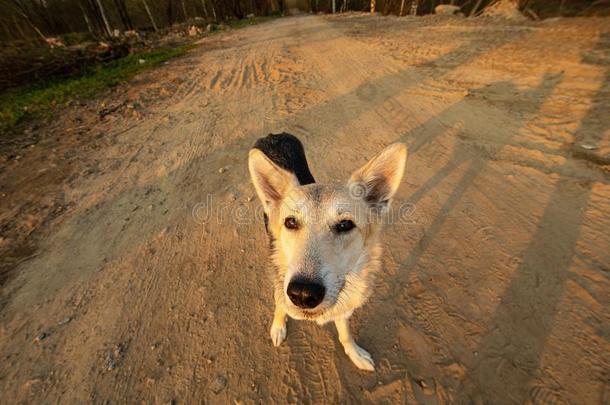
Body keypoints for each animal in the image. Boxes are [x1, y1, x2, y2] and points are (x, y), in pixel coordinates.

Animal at [247, 133, 404, 370]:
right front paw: (278, 326)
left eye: (345, 225)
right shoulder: (279, 281)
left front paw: (355, 354)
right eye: (290, 222)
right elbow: (280, 306)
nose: (303, 294)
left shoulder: (344, 307)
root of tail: (274, 135)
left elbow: (345, 333)